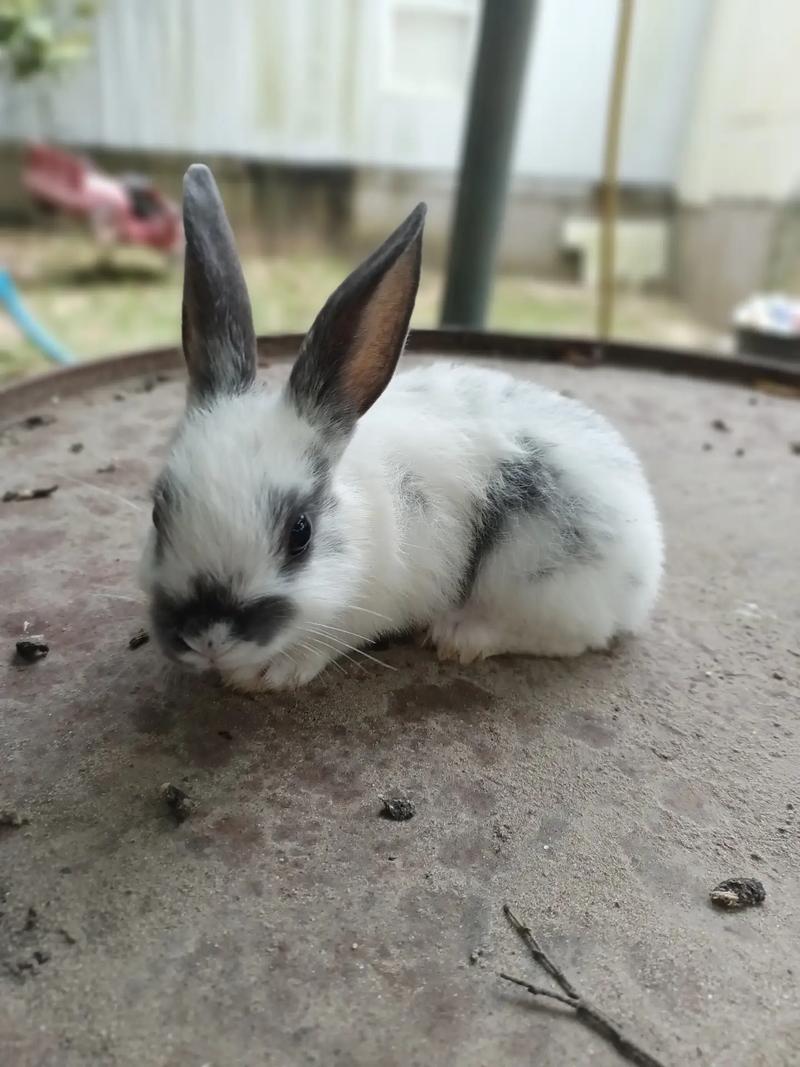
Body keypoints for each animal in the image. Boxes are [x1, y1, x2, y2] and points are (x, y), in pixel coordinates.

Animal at [140, 164, 663, 691]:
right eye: (157, 515)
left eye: (300, 534)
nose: (206, 638)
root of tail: (648, 560)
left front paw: (267, 672)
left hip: (537, 573)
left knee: (571, 635)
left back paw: (461, 635)